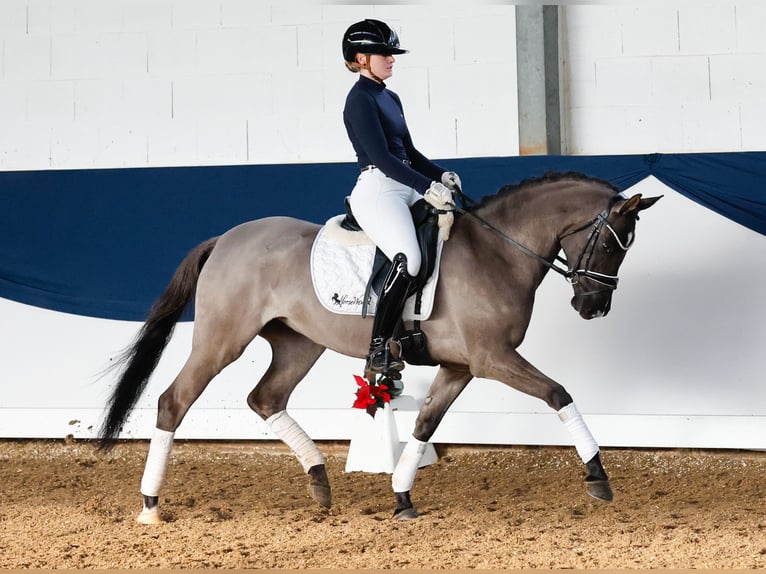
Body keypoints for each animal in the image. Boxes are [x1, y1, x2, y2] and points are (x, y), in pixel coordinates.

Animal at [97, 170, 660, 520]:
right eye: (611, 244)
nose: (592, 307)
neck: (498, 251)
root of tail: (226, 239)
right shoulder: (492, 358)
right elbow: (558, 393)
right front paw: (597, 476)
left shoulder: (460, 366)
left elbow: (424, 424)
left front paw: (403, 496)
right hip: (221, 340)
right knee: (174, 400)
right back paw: (149, 505)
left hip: (299, 344)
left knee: (266, 398)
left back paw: (319, 479)